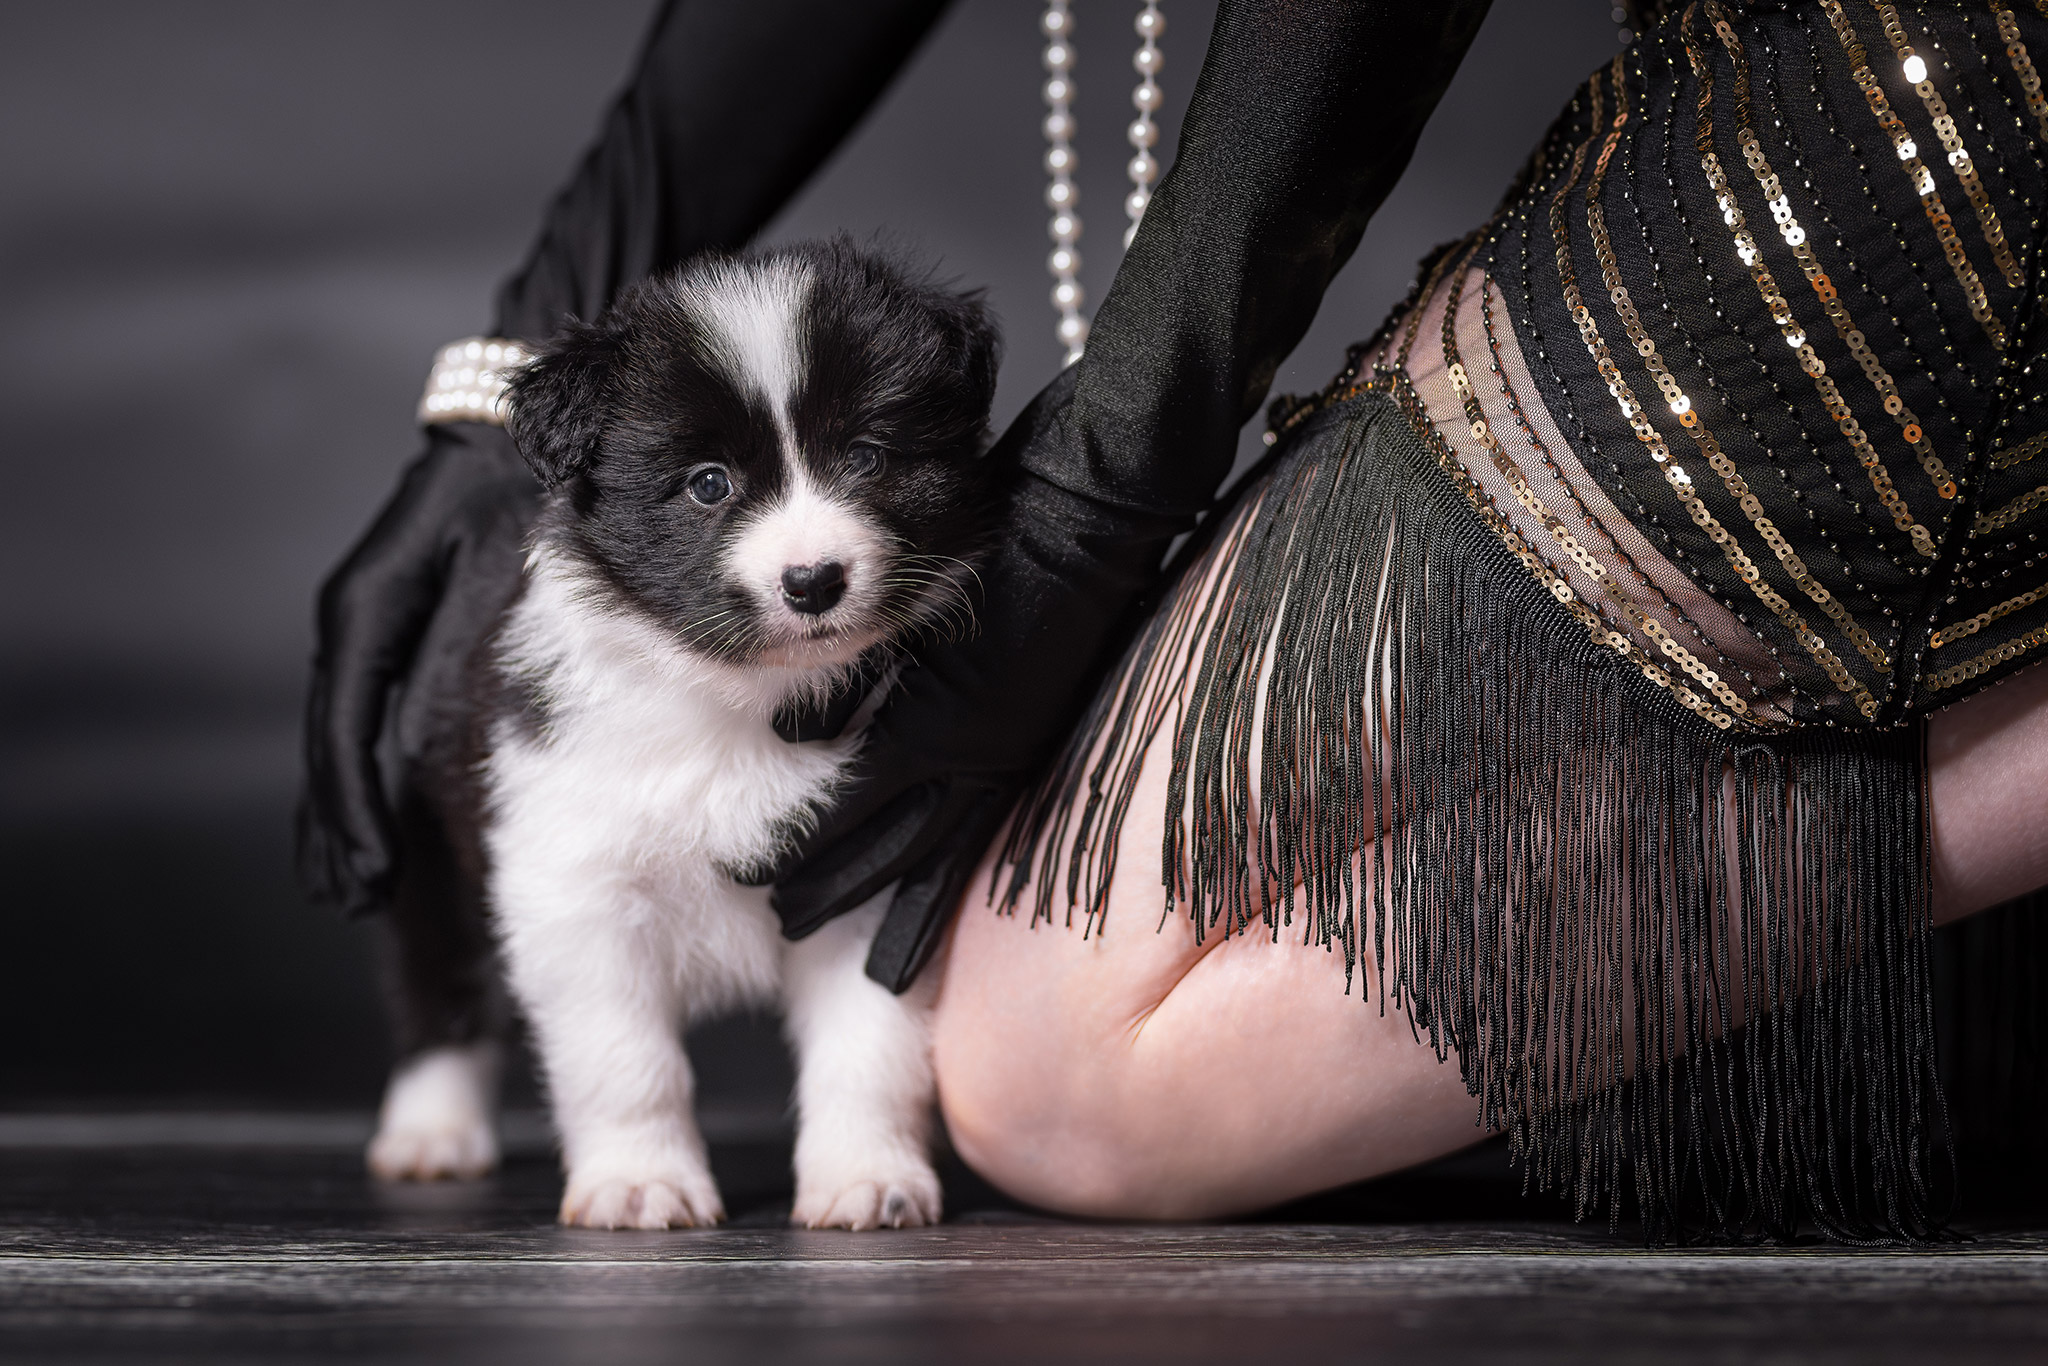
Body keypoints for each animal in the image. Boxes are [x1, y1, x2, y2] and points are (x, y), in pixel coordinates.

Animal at [372, 240, 1003, 1236]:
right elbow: (623, 1056)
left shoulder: (872, 861)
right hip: (424, 836)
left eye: (867, 457)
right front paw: (641, 1183)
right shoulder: (575, 882)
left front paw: (866, 1176)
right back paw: (431, 1131)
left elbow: (869, 1041)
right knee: (439, 976)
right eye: (709, 484)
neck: (740, 699)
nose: (813, 581)